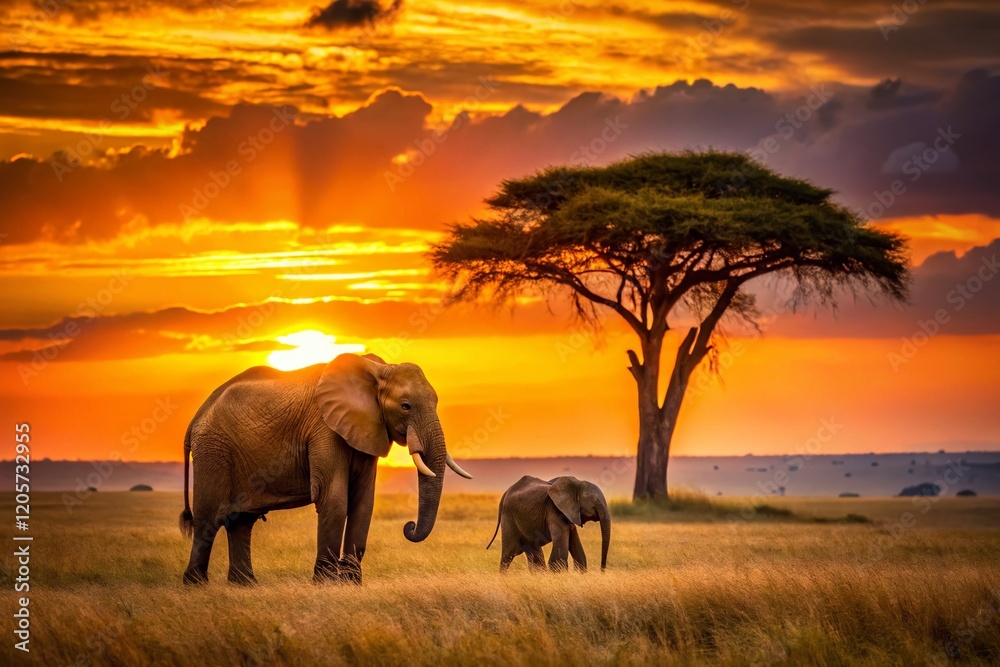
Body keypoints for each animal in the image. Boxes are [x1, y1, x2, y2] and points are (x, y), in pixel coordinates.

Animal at [179, 352, 472, 585]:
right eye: (405, 406)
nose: (409, 527)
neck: (376, 370)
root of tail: (196, 418)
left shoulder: (366, 428)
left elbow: (363, 502)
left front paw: (351, 584)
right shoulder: (324, 429)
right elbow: (334, 498)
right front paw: (326, 584)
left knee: (241, 521)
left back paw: (245, 585)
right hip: (213, 451)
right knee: (210, 519)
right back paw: (196, 585)